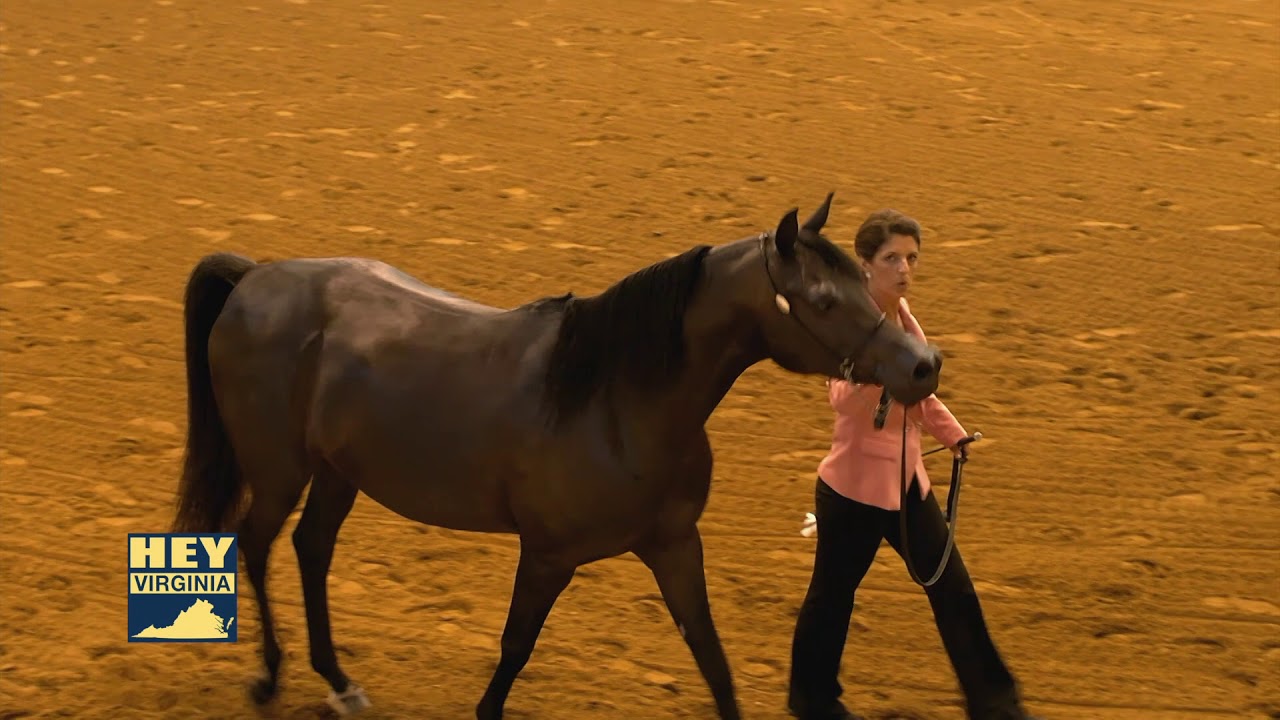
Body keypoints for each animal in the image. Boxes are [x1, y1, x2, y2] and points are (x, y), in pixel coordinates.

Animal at [169, 191, 944, 720]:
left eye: (863, 278)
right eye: (822, 297)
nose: (922, 365)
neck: (612, 400)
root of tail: (255, 278)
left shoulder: (673, 545)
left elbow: (711, 655)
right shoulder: (547, 555)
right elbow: (515, 648)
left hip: (336, 473)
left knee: (311, 549)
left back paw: (339, 681)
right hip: (280, 471)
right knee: (255, 543)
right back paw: (270, 677)